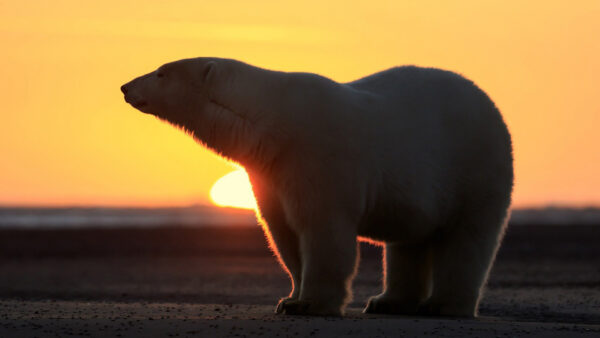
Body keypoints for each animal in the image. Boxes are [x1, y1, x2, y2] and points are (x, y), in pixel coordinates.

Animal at [120, 57, 510, 316]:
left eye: (160, 72)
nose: (125, 86)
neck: (272, 120)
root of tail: (490, 103)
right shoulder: (269, 171)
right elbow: (283, 231)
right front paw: (289, 298)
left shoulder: (317, 154)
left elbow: (322, 229)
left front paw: (310, 304)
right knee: (408, 241)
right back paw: (387, 301)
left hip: (475, 167)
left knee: (467, 238)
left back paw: (444, 305)